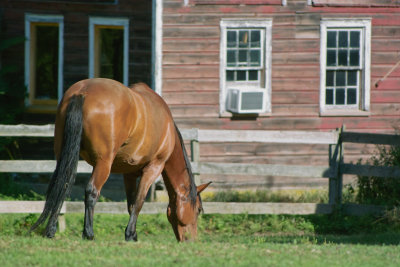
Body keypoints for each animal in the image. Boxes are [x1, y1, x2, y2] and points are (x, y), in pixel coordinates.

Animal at [29, 78, 211, 243]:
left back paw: (50, 231)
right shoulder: (153, 168)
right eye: (198, 210)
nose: (191, 240)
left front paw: (133, 234)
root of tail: (82, 92)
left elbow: (130, 204)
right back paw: (89, 234)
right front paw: (130, 235)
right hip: (103, 163)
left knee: (62, 185)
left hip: (63, 156)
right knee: (91, 191)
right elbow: (139, 201)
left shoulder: (128, 173)